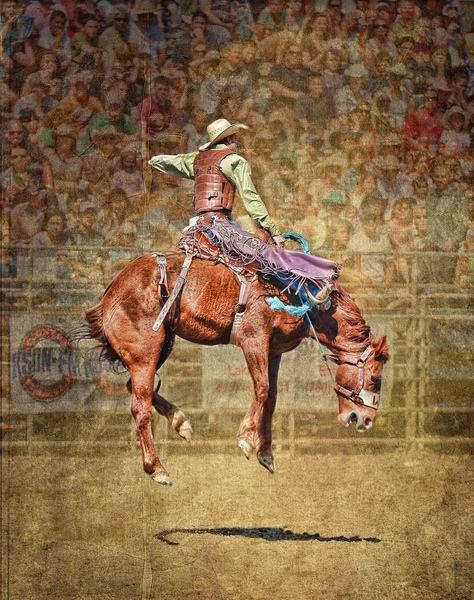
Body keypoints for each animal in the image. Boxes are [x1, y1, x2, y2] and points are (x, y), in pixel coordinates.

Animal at [84, 251, 388, 486]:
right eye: (375, 378)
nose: (366, 421)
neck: (306, 303)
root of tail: (112, 289)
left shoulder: (273, 351)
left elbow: (272, 398)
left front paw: (266, 453)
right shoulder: (253, 340)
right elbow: (262, 389)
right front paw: (245, 439)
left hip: (159, 347)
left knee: (136, 390)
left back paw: (181, 423)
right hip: (145, 352)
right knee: (140, 407)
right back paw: (157, 469)